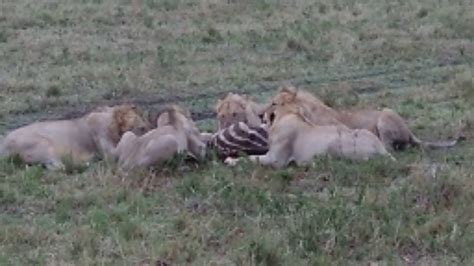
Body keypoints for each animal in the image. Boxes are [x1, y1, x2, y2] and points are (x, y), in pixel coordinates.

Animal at [0, 105, 150, 169]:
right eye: (142, 128)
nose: (149, 129)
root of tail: (3, 144)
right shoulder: (108, 150)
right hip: (42, 144)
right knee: (58, 167)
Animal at [250, 102, 394, 168]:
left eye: (273, 104)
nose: (260, 115)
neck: (289, 115)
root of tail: (381, 148)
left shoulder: (276, 160)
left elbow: (252, 158)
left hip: (334, 144)